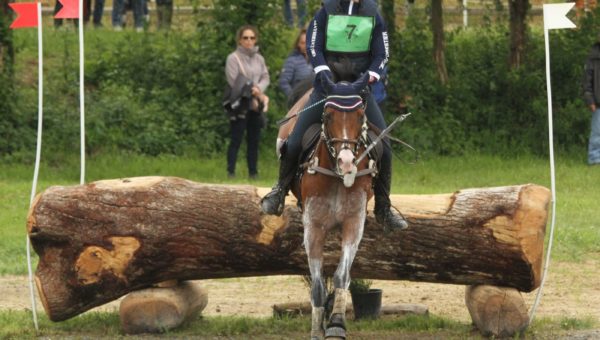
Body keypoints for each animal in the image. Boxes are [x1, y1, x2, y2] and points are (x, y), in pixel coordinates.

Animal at [280, 73, 376, 338]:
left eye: (361, 116)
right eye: (328, 115)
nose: (347, 162)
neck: (336, 177)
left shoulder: (354, 223)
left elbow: (342, 276)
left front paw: (336, 324)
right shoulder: (313, 228)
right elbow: (318, 286)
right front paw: (317, 329)